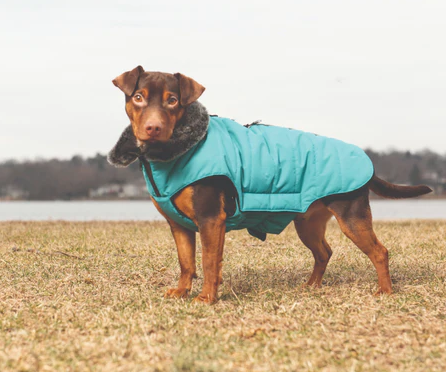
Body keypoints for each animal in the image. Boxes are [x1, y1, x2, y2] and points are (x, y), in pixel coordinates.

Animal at [107, 66, 430, 306]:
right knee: (324, 252)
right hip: (308, 221)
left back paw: (384, 291)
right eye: (138, 97)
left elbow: (210, 261)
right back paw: (311, 286)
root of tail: (366, 161)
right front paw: (182, 291)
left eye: (173, 100)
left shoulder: (211, 219)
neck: (177, 150)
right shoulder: (179, 225)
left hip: (352, 216)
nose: (153, 127)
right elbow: (187, 263)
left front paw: (207, 298)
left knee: (380, 252)